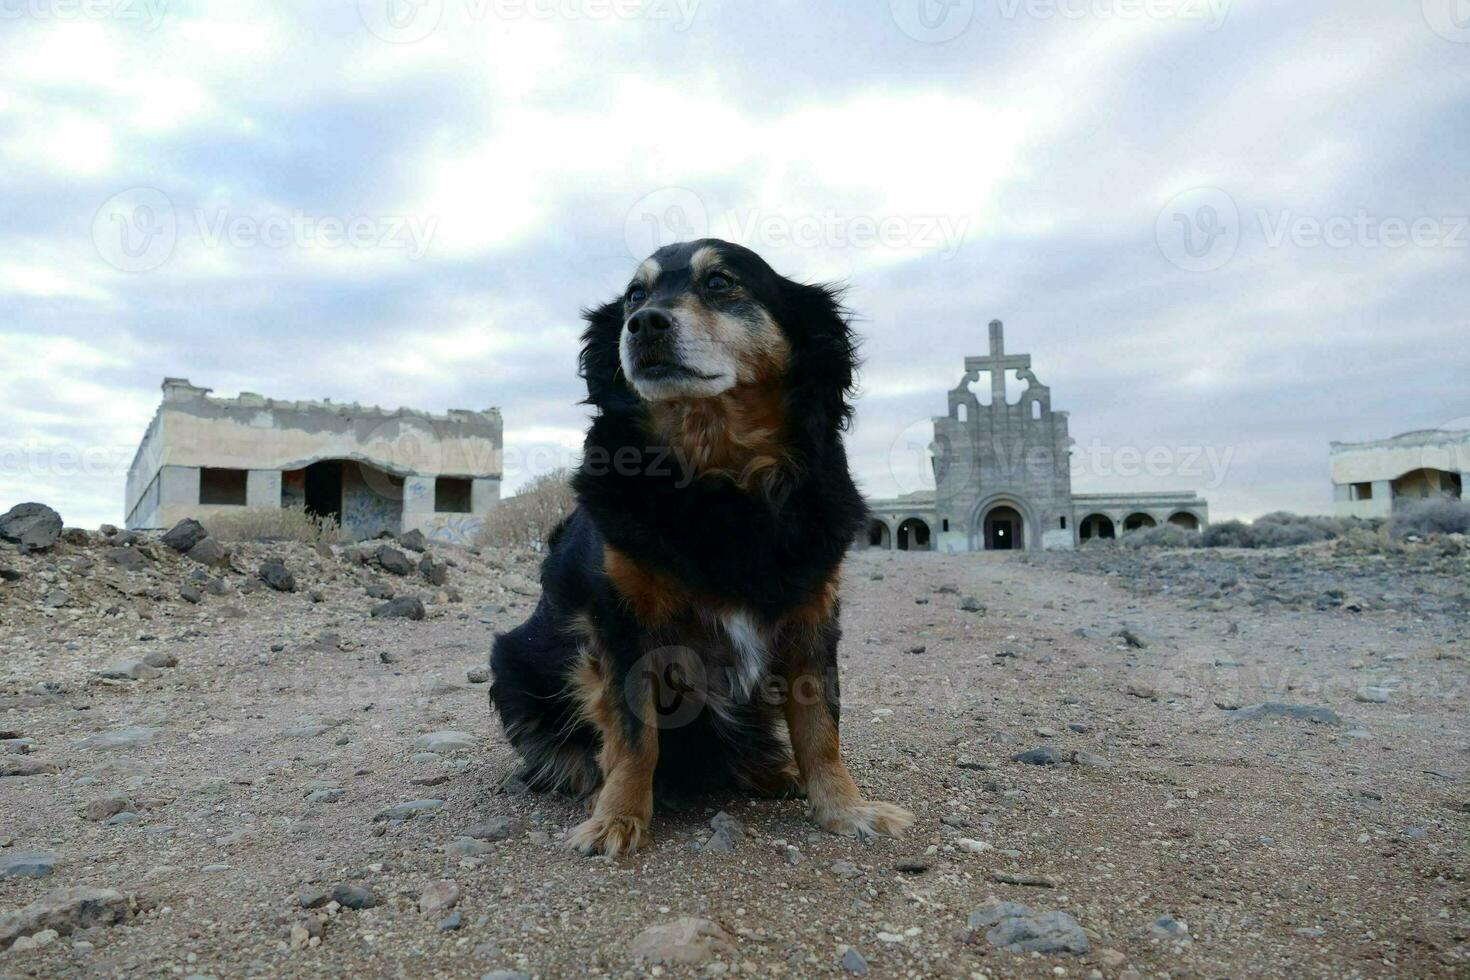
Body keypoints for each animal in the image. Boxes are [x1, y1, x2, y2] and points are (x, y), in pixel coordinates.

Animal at [488, 239, 911, 858]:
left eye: (719, 282)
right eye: (633, 296)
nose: (643, 324)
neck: (718, 472)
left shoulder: (813, 615)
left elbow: (821, 727)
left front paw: (844, 808)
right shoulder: (621, 622)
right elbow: (634, 735)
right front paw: (617, 816)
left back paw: (773, 773)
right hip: (513, 664)